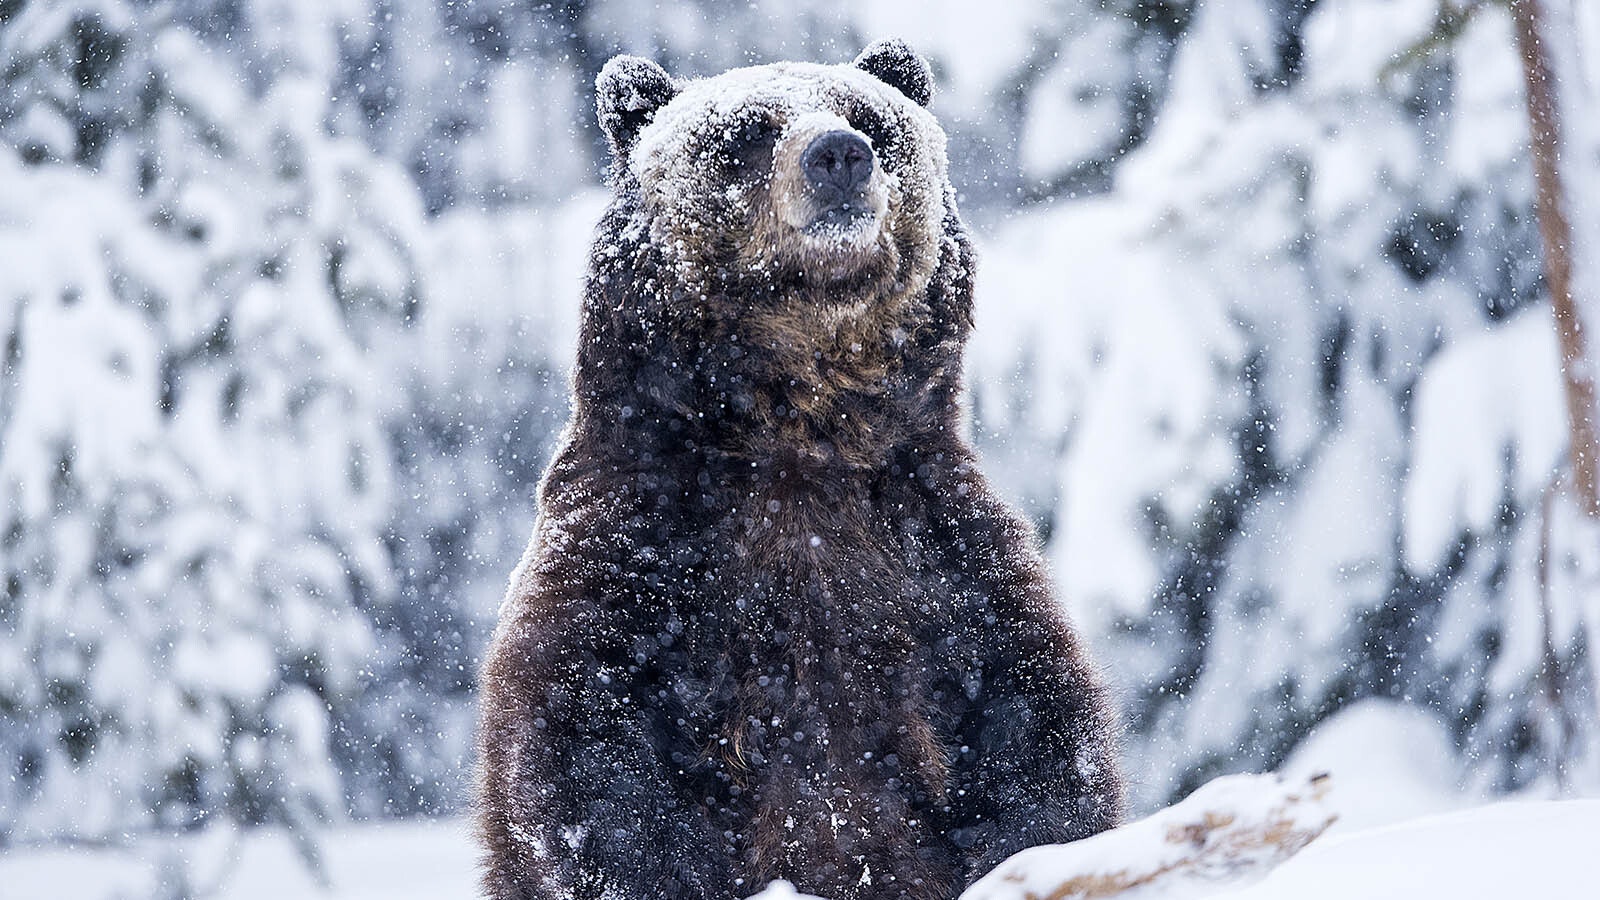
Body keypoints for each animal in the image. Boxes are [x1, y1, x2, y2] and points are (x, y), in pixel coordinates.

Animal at [476, 40, 1123, 900]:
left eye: (871, 120)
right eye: (748, 132)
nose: (838, 156)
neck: (801, 434)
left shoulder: (937, 553)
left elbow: (1034, 731)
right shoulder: (639, 548)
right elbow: (585, 752)